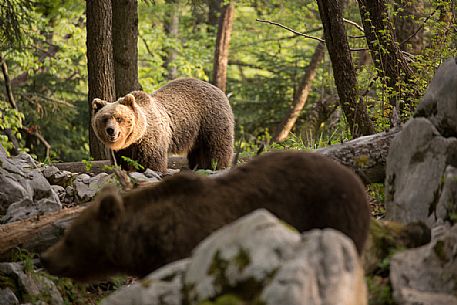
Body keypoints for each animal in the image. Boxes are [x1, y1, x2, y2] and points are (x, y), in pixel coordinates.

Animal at [92, 76, 235, 171]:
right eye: (104, 118)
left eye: (119, 118)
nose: (111, 130)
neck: (137, 136)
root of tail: (217, 89)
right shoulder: (124, 149)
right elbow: (123, 162)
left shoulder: (151, 140)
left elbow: (151, 162)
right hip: (196, 132)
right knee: (197, 150)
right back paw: (198, 166)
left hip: (210, 120)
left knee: (215, 146)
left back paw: (215, 165)